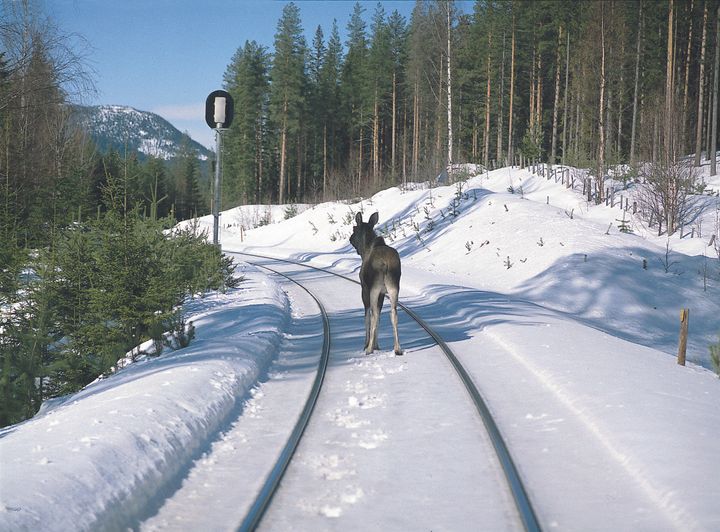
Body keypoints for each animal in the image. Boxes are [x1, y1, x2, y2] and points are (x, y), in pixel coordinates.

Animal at [350, 210, 402, 356]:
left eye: (354, 229)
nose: (350, 238)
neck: (365, 249)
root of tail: (386, 264)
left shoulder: (364, 288)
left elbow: (368, 316)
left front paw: (368, 344)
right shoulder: (383, 293)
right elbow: (379, 316)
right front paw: (377, 345)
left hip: (374, 288)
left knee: (374, 314)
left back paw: (369, 349)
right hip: (394, 287)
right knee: (393, 313)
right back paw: (397, 348)